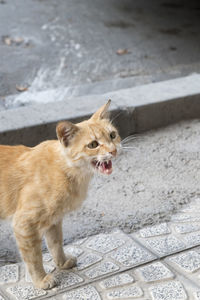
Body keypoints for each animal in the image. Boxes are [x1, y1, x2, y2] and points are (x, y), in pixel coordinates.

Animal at [0, 100, 120, 288]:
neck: (65, 171)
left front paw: (62, 263)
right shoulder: (24, 224)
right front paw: (41, 280)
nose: (113, 150)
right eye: (93, 145)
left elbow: (56, 244)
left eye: (113, 135)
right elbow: (34, 258)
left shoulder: (54, 220)